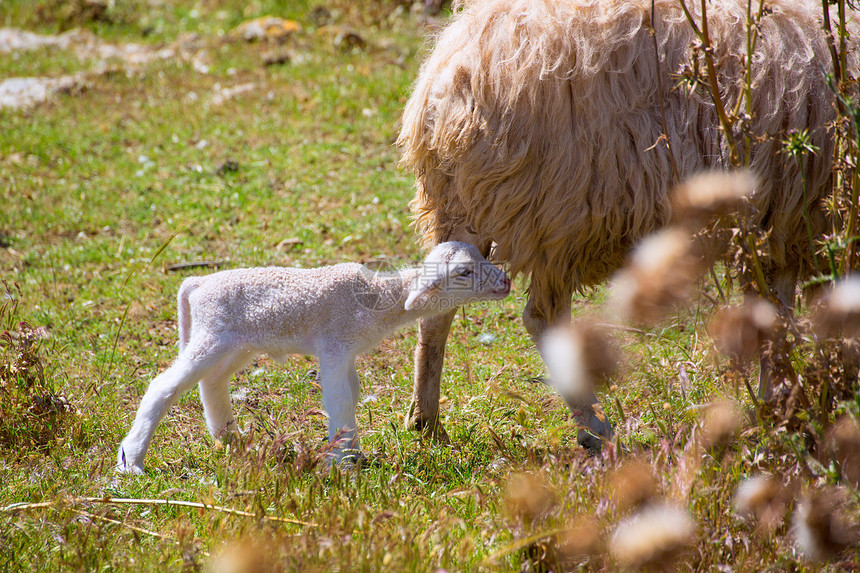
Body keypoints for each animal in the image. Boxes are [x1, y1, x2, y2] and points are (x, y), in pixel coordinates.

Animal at [119, 241, 510, 474]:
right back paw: (131, 461)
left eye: (482, 256)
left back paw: (230, 437)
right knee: (162, 387)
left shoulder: (347, 352)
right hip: (212, 335)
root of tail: (196, 284)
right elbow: (339, 400)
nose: (506, 282)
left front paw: (351, 452)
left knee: (212, 381)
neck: (377, 298)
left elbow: (352, 394)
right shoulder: (334, 347)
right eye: (463, 272)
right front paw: (343, 463)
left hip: (237, 344)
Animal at [400, 0, 856, 442]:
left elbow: (776, 314)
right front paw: (781, 410)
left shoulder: (781, 228)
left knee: (438, 308)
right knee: (542, 316)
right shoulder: (786, 216)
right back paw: (594, 426)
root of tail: (452, 70)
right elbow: (775, 317)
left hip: (466, 205)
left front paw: (777, 405)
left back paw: (425, 421)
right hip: (559, 209)